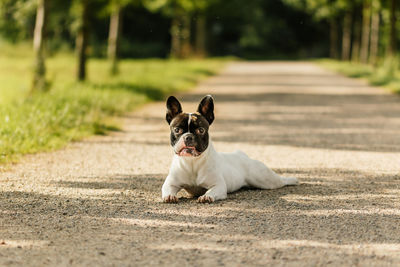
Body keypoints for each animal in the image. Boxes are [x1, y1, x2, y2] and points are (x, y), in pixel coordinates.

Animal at [162, 95, 296, 204]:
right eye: (177, 130)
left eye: (201, 130)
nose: (188, 137)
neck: (192, 163)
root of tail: (241, 155)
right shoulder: (170, 183)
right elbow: (167, 190)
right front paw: (170, 197)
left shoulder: (218, 185)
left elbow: (211, 191)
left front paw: (206, 196)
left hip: (264, 179)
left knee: (280, 181)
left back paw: (293, 180)